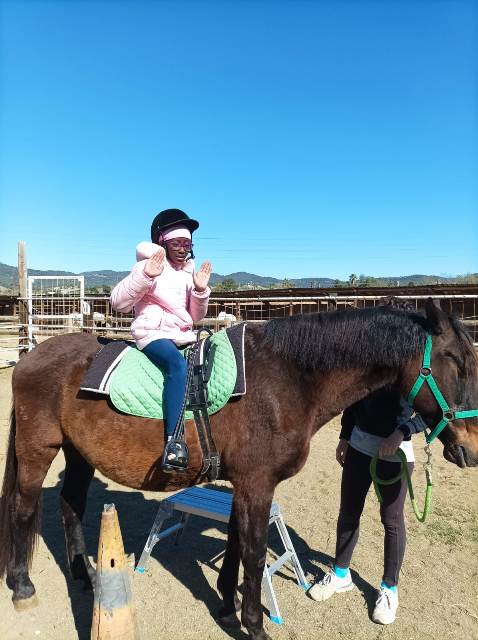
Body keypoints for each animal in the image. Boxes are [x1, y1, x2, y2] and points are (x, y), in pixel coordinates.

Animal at [1, 299, 477, 640]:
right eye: (456, 362)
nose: (470, 450)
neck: (287, 379)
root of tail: (30, 356)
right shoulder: (256, 485)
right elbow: (253, 551)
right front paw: (254, 625)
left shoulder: (243, 485)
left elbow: (233, 545)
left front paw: (228, 612)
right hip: (38, 449)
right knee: (23, 508)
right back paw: (22, 587)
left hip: (78, 453)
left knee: (70, 506)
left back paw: (84, 575)